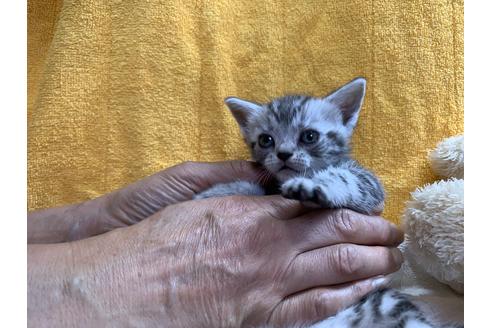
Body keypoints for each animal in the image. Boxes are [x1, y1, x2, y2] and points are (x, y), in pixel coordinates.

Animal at [196, 77, 384, 215]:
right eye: (266, 140)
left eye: (309, 136)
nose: (283, 154)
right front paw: (213, 193)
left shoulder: (370, 183)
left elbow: (349, 178)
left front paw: (315, 186)